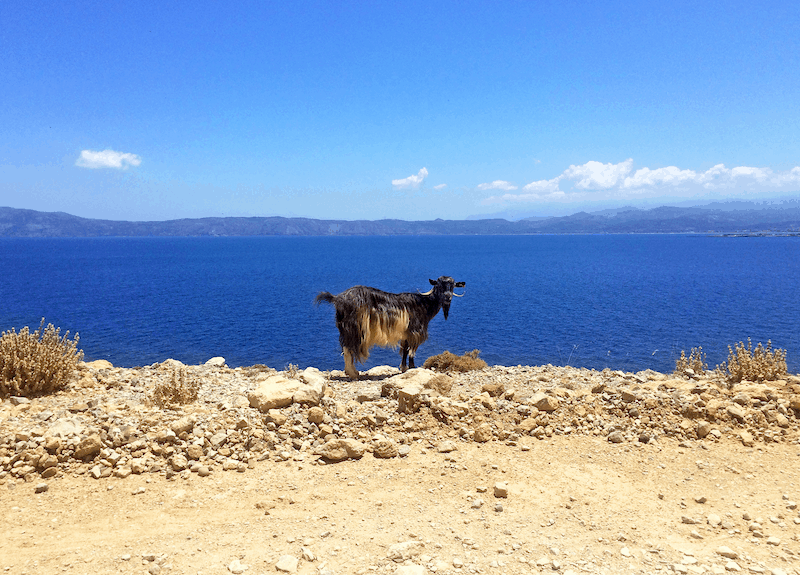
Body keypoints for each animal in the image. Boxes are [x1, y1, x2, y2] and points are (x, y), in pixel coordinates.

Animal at [312, 276, 462, 380]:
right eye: (439, 285)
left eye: (452, 286)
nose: (448, 297)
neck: (423, 304)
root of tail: (337, 298)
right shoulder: (415, 332)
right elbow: (412, 351)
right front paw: (412, 367)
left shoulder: (405, 334)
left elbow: (405, 350)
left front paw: (404, 368)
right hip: (354, 327)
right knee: (349, 348)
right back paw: (353, 373)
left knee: (346, 347)